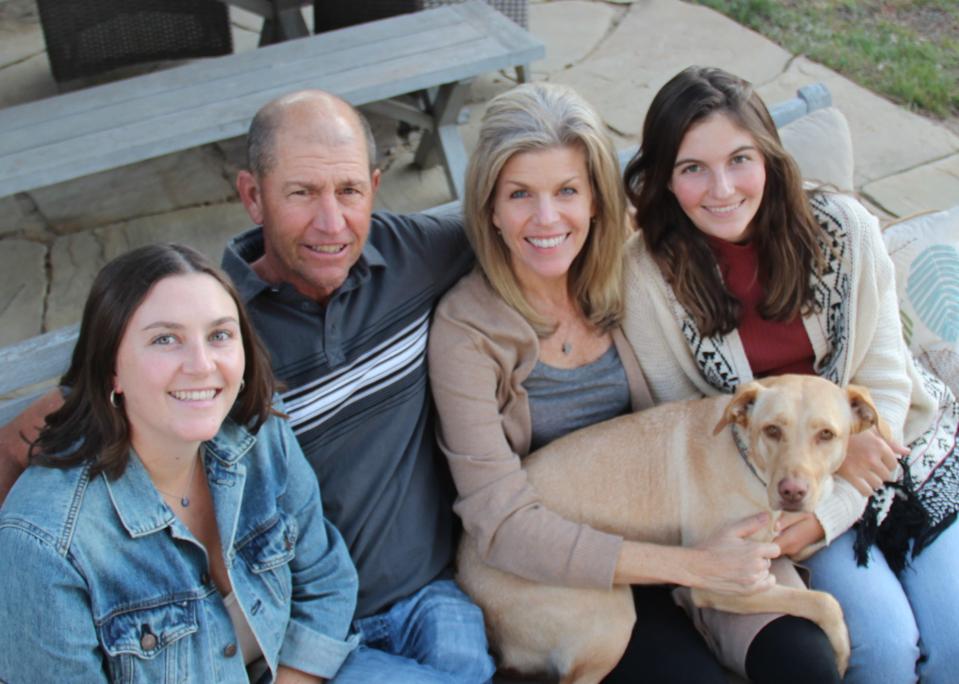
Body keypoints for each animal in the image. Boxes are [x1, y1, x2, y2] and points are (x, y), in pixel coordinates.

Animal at [458, 376, 884, 680]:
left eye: (826, 434)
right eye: (772, 430)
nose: (792, 492)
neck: (748, 462)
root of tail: (462, 568)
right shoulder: (723, 584)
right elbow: (823, 602)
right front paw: (842, 652)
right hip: (609, 620)